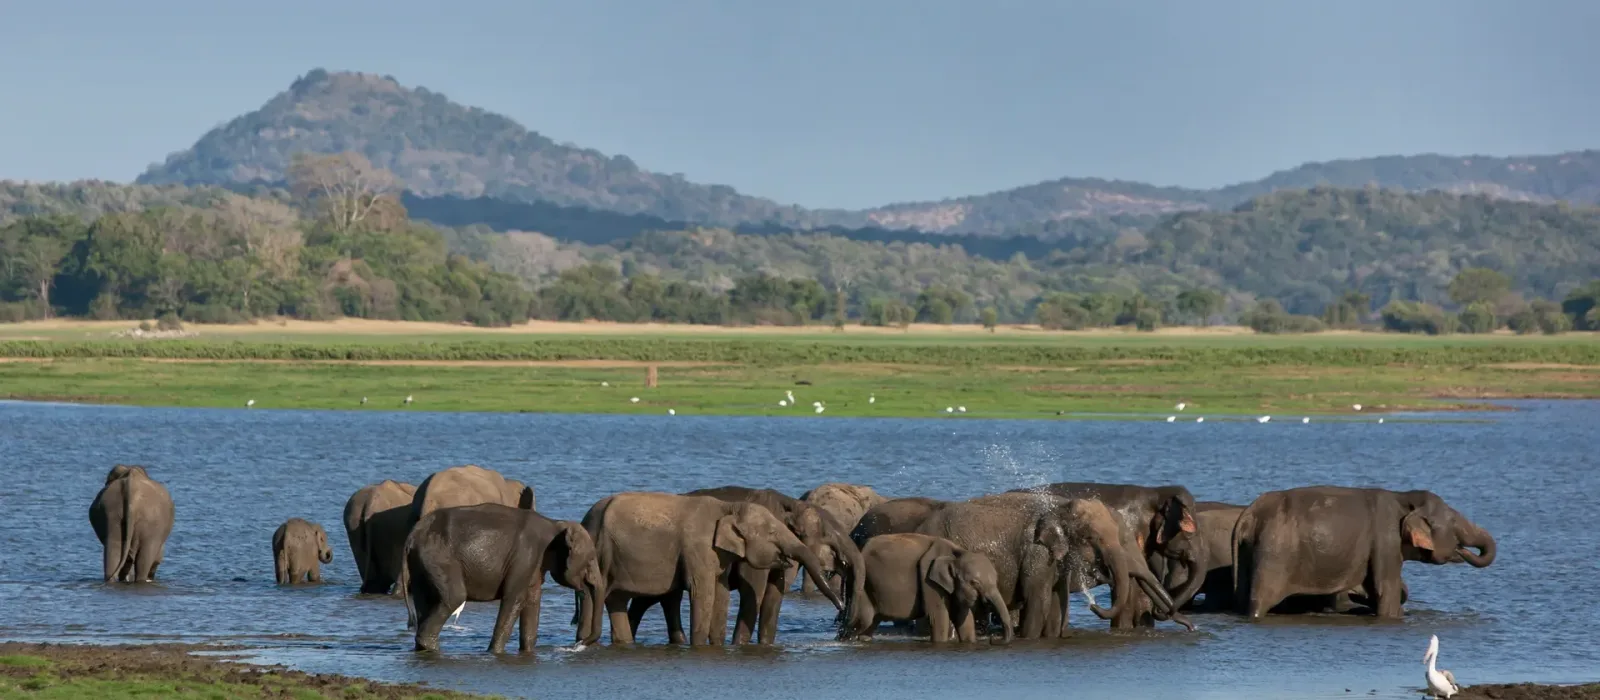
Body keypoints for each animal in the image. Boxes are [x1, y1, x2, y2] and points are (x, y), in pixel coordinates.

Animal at [401, 503, 605, 653]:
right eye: (591, 560)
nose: (578, 645)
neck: (555, 524)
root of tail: (411, 536)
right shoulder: (525, 556)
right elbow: (515, 598)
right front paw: (494, 653)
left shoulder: (534, 564)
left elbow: (532, 602)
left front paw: (527, 652)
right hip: (438, 559)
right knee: (455, 597)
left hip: (422, 564)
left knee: (425, 601)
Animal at [580, 492, 843, 646]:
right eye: (771, 533)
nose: (840, 610)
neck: (729, 508)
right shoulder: (698, 548)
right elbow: (702, 591)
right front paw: (699, 647)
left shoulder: (719, 554)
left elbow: (721, 592)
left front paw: (716, 644)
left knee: (618, 599)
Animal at [841, 533, 1012, 644]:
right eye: (974, 583)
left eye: (996, 579)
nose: (994, 639)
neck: (955, 553)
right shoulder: (929, 582)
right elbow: (939, 616)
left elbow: (964, 618)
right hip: (862, 586)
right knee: (861, 621)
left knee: (869, 624)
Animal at [918, 492, 1183, 639]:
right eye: (1091, 538)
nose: (1093, 606)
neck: (1061, 507)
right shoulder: (1037, 552)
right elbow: (1038, 598)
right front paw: (1029, 639)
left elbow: (1056, 600)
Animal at [1232, 486, 1496, 619]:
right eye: (1453, 522)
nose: (1461, 550)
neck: (1403, 497)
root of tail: (1248, 514)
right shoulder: (1386, 539)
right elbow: (1385, 589)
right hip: (1274, 552)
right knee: (1260, 599)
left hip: (1249, 550)